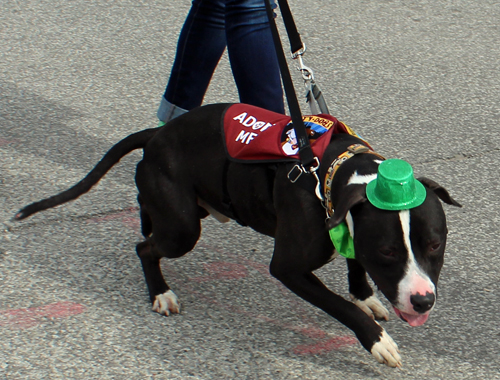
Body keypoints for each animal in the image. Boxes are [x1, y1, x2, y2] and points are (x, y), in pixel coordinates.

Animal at [15, 102, 460, 366]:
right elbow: (339, 306)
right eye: (387, 252)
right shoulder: (289, 268)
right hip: (182, 229)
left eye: (435, 244)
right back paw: (160, 292)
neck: (333, 175)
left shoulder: (348, 224)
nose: (422, 300)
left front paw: (365, 297)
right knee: (145, 247)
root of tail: (156, 134)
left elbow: (354, 263)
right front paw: (377, 340)